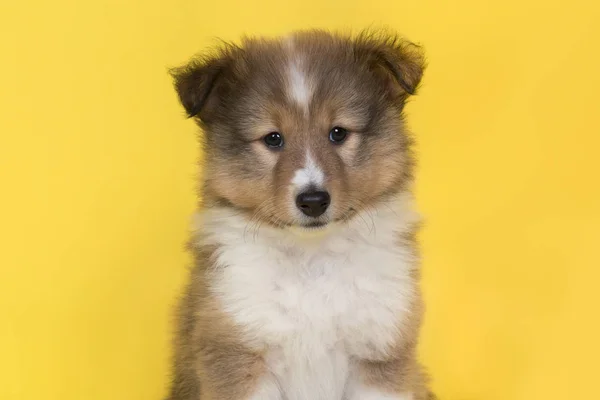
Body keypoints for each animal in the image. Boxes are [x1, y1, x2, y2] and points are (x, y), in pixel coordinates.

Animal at [166, 28, 434, 400]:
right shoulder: (237, 352)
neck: (311, 258)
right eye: (273, 138)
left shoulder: (379, 351)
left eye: (338, 132)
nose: (313, 200)